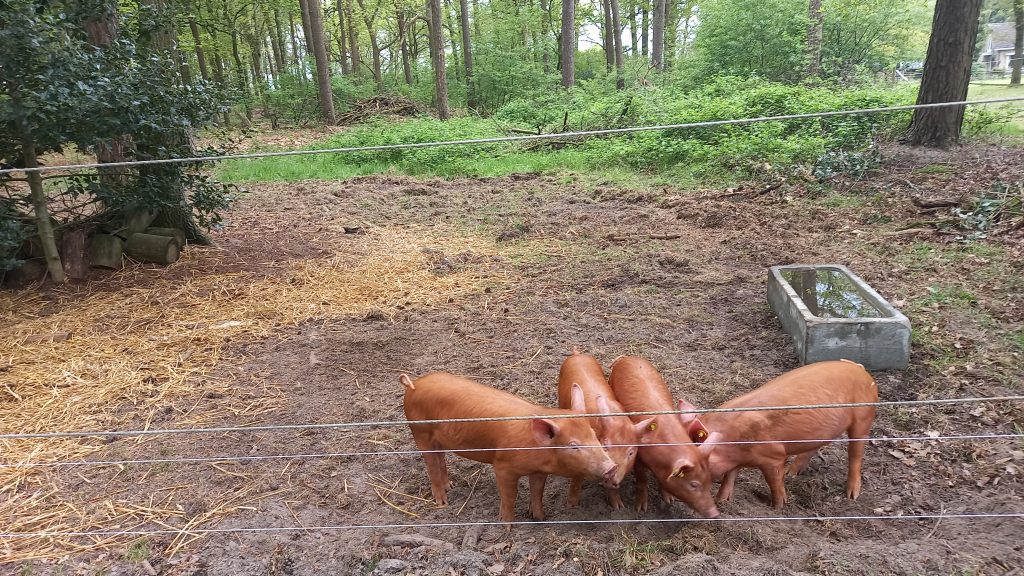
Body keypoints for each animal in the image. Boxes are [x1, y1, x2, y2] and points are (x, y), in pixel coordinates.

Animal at [397, 368, 614, 522]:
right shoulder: (502, 466)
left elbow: (537, 492)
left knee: (440, 458)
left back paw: (450, 486)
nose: (611, 466)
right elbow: (510, 495)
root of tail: (414, 384)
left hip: (438, 439)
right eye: (573, 445)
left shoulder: (539, 471)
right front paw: (507, 525)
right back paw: (443, 503)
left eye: (593, 436)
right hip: (420, 431)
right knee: (431, 464)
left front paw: (540, 518)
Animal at [557, 350, 651, 506]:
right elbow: (576, 478)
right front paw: (571, 505)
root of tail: (577, 354)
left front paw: (618, 506)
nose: (612, 473)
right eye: (605, 446)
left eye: (631, 452)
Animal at [606, 354, 720, 516]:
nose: (715, 513)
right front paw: (641, 509)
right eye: (693, 484)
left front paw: (668, 500)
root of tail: (628, 357)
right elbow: (642, 480)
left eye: (709, 480)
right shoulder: (638, 457)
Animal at [700, 358, 876, 506]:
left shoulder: (774, 456)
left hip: (863, 417)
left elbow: (774, 481)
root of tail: (859, 369)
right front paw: (722, 500)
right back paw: (791, 473)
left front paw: (778, 507)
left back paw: (852, 496)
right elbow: (729, 476)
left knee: (855, 453)